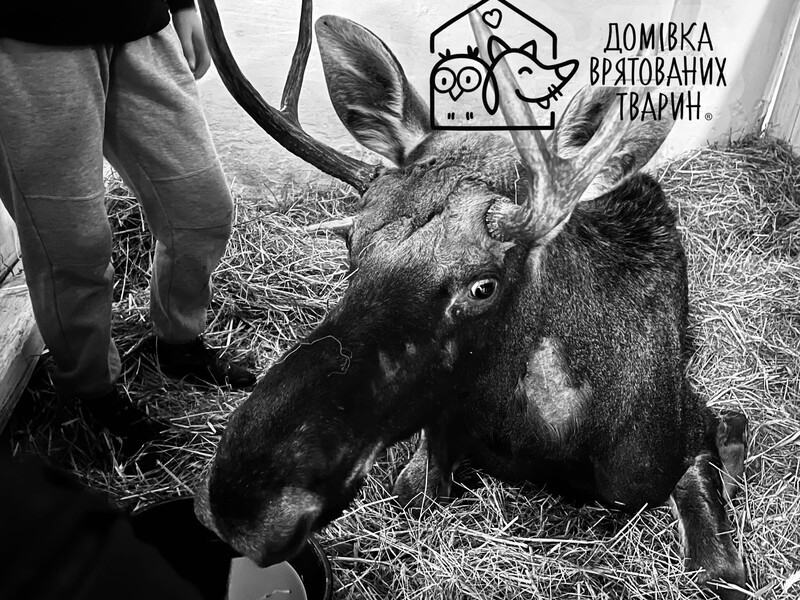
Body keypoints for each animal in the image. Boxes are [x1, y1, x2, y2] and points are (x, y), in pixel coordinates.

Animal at [193, 1, 748, 598]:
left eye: (484, 285)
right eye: (351, 243)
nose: (246, 501)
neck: (538, 437)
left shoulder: (674, 436)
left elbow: (719, 563)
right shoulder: (440, 424)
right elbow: (416, 489)